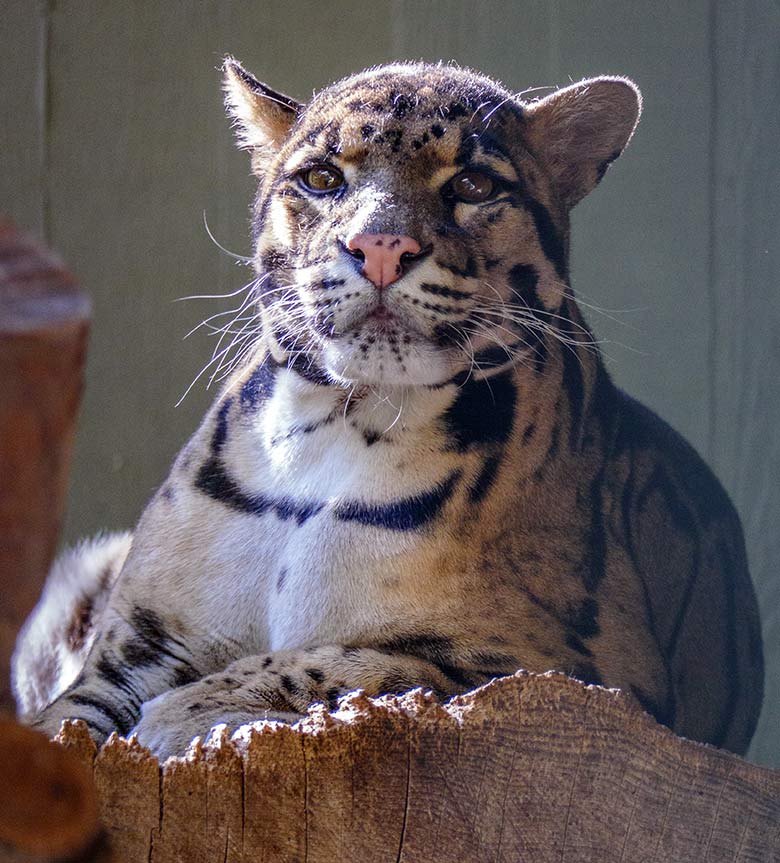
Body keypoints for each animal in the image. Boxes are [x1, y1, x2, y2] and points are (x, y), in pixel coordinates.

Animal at [15, 59, 764, 756]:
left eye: (473, 186)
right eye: (322, 179)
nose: (379, 247)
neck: (336, 420)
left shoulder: (574, 670)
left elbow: (351, 659)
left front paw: (187, 710)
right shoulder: (139, 642)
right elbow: (62, 720)